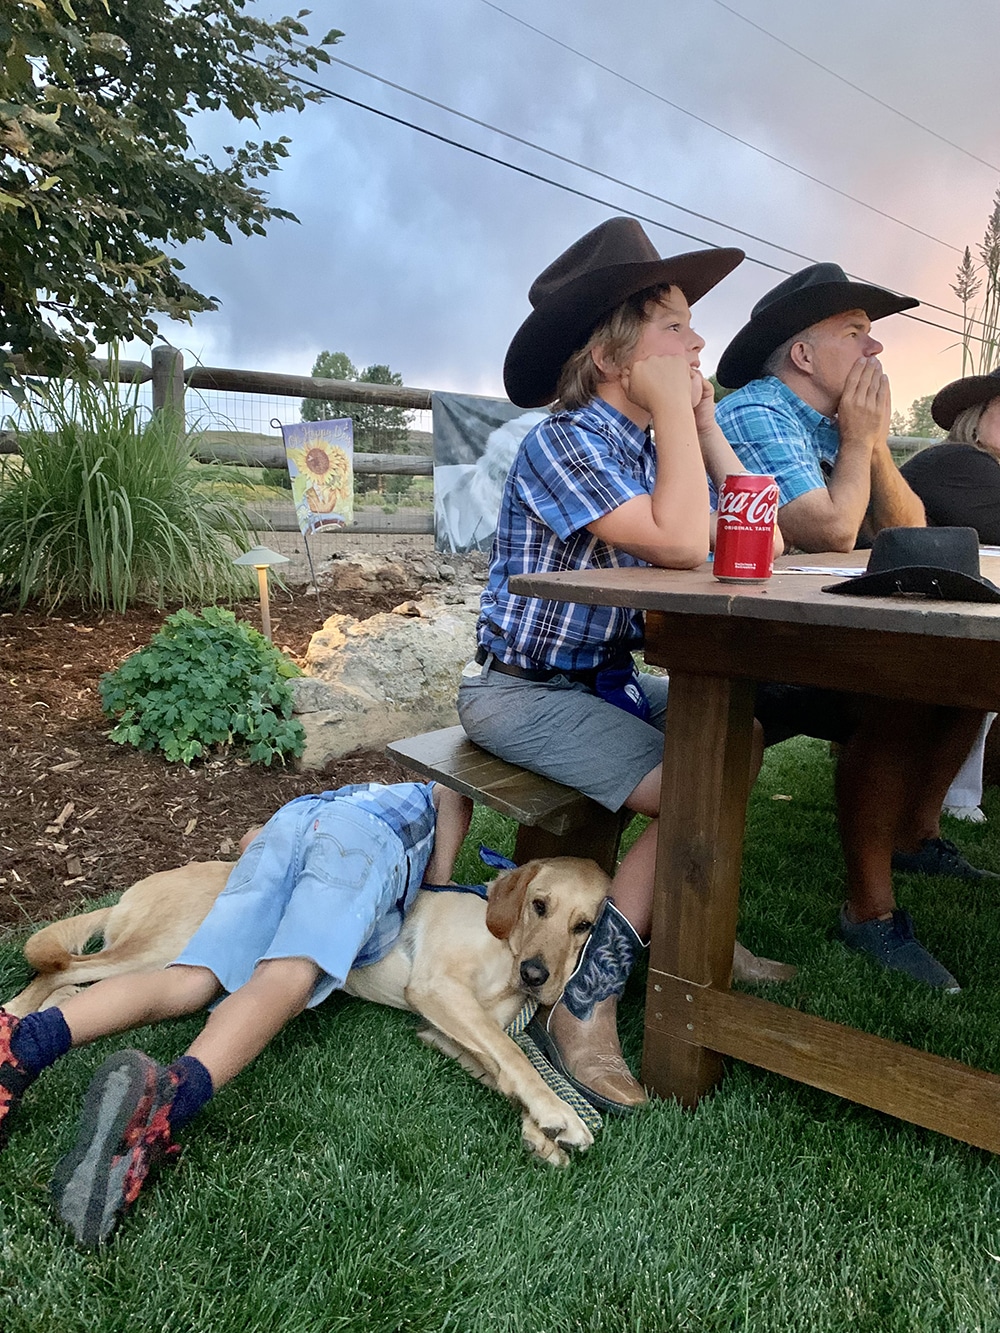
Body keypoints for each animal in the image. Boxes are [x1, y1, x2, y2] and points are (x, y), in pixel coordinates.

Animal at [3, 858, 616, 1162]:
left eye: (584, 925)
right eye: (539, 905)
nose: (537, 977)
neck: (506, 950)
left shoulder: (442, 1032)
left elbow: (503, 1065)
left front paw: (542, 1129)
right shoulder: (439, 990)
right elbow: (514, 1054)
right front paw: (557, 1114)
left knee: (66, 984)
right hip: (170, 953)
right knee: (58, 969)